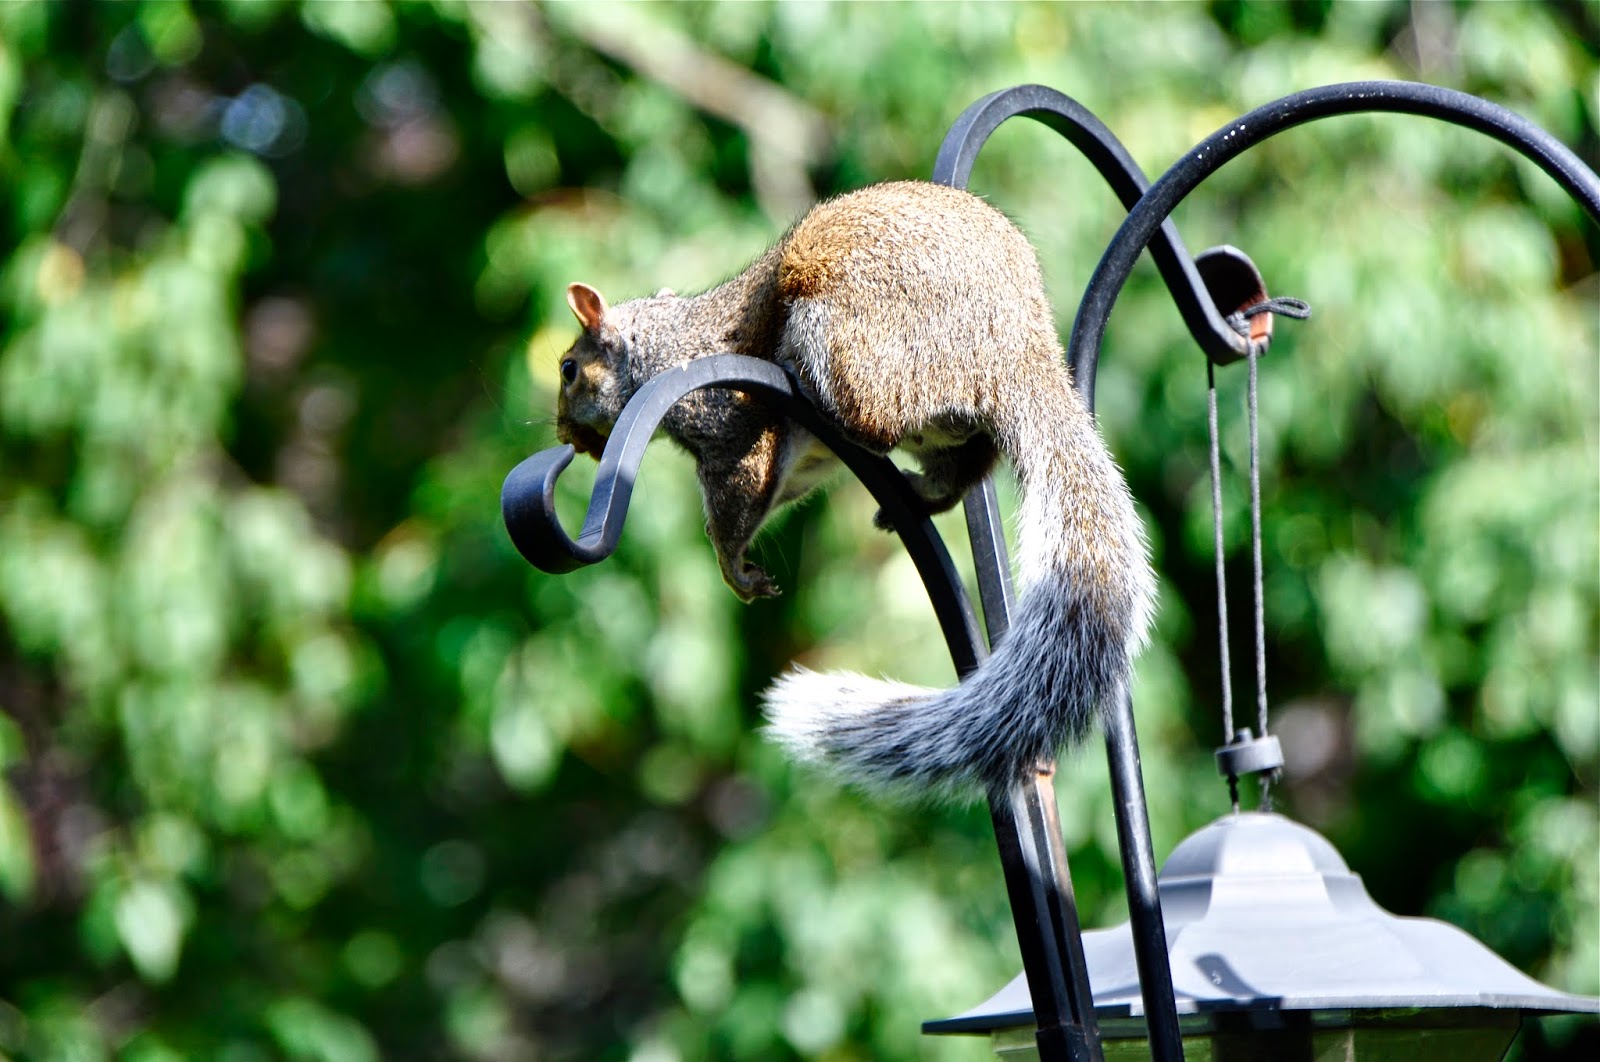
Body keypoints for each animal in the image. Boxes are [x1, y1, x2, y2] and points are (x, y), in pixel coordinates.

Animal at [555, 180, 1155, 795]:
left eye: (568, 369)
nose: (567, 437)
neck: (662, 346)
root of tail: (1017, 347)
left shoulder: (728, 422)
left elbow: (737, 494)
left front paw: (733, 568)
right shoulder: (797, 457)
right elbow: (782, 483)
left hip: (847, 337)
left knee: (874, 423)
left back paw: (820, 395)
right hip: (935, 422)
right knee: (962, 466)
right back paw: (918, 495)